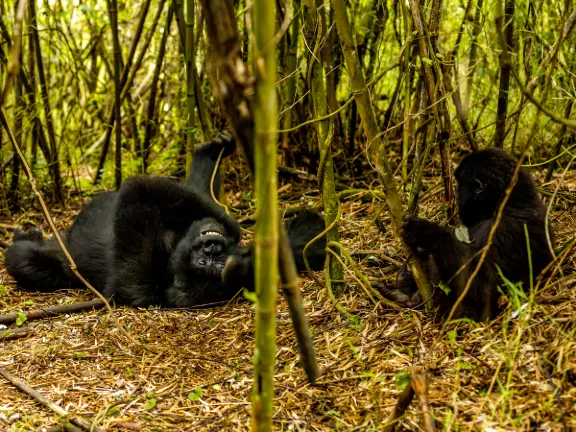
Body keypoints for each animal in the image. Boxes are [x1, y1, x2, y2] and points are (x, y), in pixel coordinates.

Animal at [4, 132, 326, 308]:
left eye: (213, 264)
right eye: (207, 258)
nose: (212, 248)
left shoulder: (140, 280)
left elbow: (138, 189)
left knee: (24, 261)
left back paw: (25, 239)